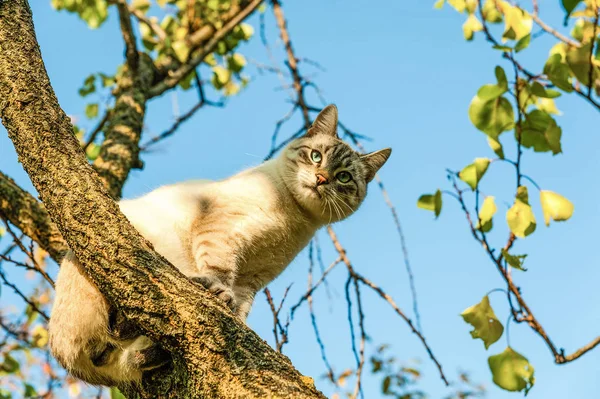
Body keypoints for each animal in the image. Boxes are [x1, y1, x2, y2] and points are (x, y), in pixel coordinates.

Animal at [49, 104, 392, 388]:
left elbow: (240, 310)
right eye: (316, 157)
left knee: (124, 353)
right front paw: (218, 291)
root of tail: (61, 351)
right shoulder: (221, 232)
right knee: (119, 323)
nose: (321, 179)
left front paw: (236, 319)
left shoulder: (252, 279)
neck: (293, 218)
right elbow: (219, 268)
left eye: (344, 177)